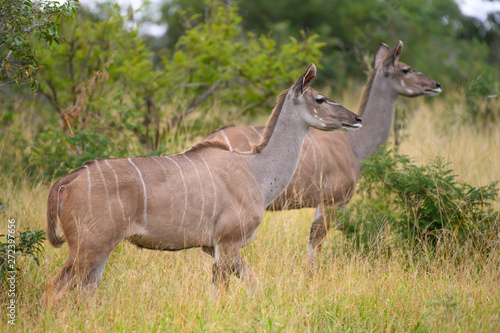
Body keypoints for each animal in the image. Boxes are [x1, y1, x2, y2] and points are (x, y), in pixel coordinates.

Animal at [44, 63, 364, 304]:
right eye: (320, 99)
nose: (357, 118)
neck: (255, 170)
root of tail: (68, 181)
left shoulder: (214, 247)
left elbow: (252, 284)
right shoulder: (229, 242)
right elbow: (222, 293)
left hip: (100, 251)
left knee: (86, 293)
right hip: (88, 247)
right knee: (54, 289)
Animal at [203, 40, 442, 264]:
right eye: (406, 69)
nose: (436, 84)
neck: (354, 146)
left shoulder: (341, 204)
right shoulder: (331, 200)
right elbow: (315, 245)